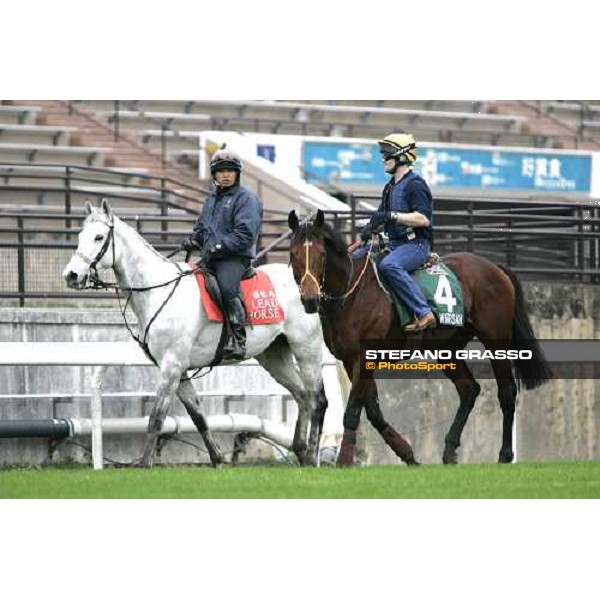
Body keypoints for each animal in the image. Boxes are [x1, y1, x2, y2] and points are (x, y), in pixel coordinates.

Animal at [62, 199, 328, 466]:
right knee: (302, 395)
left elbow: (156, 418)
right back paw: (301, 451)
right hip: (274, 356)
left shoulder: (171, 367)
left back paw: (312, 454)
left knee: (316, 399)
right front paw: (218, 459)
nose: (71, 275)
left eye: (99, 237)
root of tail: (310, 286)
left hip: (307, 351)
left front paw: (145, 464)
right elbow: (197, 415)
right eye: (80, 236)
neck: (158, 290)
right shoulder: (179, 372)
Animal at [288, 209, 552, 466]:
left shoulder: (364, 357)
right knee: (469, 389)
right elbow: (373, 411)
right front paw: (406, 453)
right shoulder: (349, 359)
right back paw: (449, 450)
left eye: (322, 253)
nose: (310, 299)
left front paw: (344, 460)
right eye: (293, 254)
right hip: (447, 349)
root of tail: (495, 268)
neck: (351, 293)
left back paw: (505, 454)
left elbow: (353, 410)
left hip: (496, 340)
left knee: (507, 392)